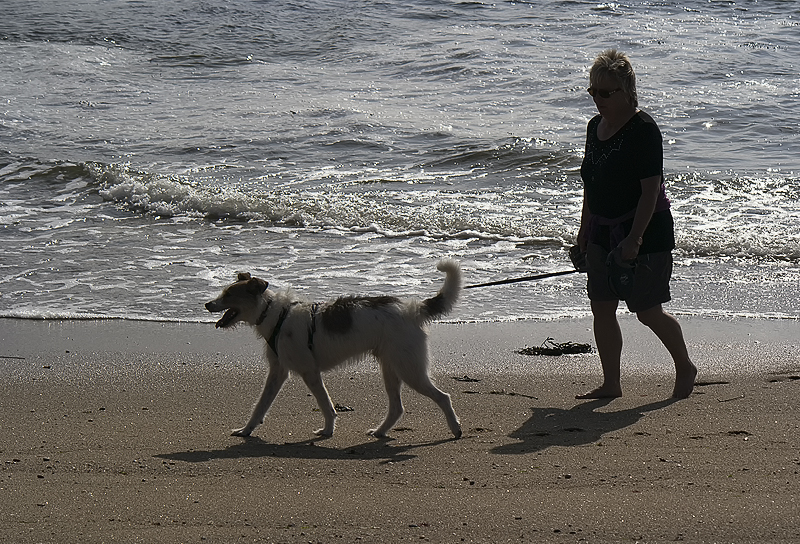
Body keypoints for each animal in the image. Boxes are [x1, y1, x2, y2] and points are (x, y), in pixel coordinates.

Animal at [203, 258, 462, 440]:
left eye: (229, 294)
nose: (207, 304)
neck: (276, 314)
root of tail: (412, 308)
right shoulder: (278, 373)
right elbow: (260, 406)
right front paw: (246, 430)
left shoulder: (309, 372)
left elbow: (326, 405)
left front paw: (327, 430)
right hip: (391, 369)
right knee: (397, 408)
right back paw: (380, 431)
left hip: (409, 369)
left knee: (443, 397)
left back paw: (455, 428)